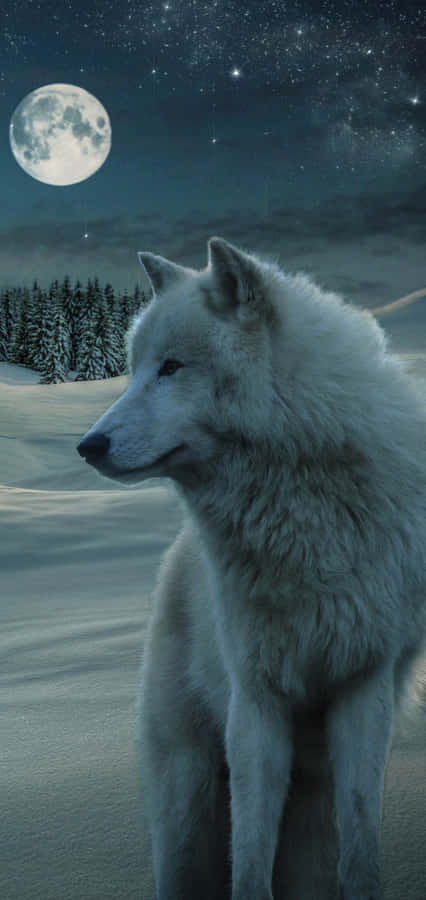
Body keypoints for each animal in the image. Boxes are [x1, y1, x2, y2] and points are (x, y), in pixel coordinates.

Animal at [77, 237, 426, 900]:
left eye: (171, 367)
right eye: (135, 369)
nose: (88, 446)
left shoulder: (363, 689)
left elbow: (360, 849)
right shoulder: (255, 702)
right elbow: (249, 859)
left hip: (310, 805)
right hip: (186, 804)